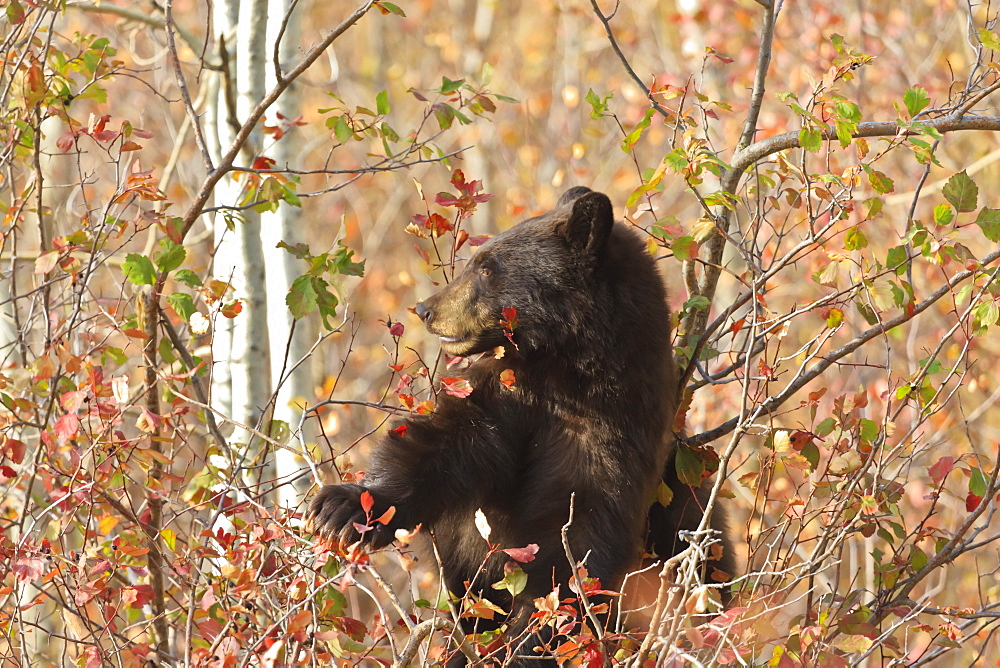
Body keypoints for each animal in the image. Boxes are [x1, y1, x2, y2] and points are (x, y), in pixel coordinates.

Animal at [312, 187, 736, 664]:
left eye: (486, 268)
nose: (425, 309)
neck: (569, 373)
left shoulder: (613, 430)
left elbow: (576, 534)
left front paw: (533, 637)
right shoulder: (510, 392)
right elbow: (445, 442)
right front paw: (344, 507)